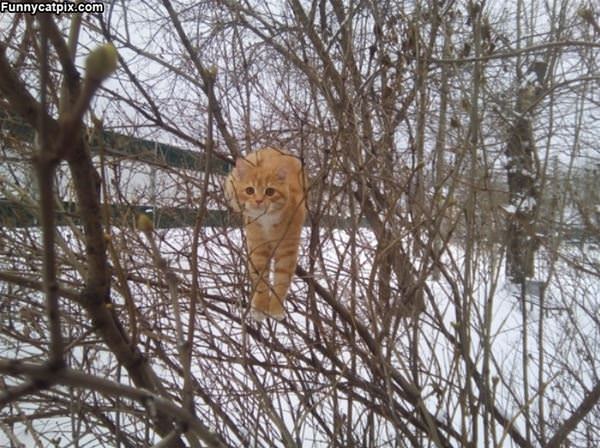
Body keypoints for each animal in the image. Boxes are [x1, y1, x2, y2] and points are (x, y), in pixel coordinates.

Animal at [226, 149, 308, 320]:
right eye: (250, 190)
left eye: (270, 191)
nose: (258, 201)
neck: (267, 221)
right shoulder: (258, 249)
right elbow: (261, 280)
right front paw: (260, 307)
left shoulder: (287, 250)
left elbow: (282, 280)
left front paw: (276, 308)